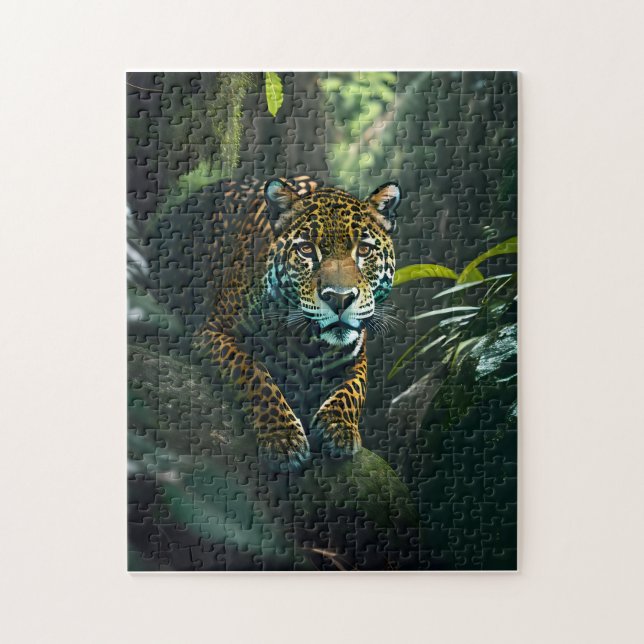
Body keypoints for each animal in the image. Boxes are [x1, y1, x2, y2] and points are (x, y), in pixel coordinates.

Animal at [198, 175, 401, 468]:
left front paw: (338, 427)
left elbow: (354, 389)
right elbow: (253, 372)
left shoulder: (356, 356)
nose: (339, 298)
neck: (307, 342)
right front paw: (283, 438)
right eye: (306, 250)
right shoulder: (214, 332)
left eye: (364, 250)